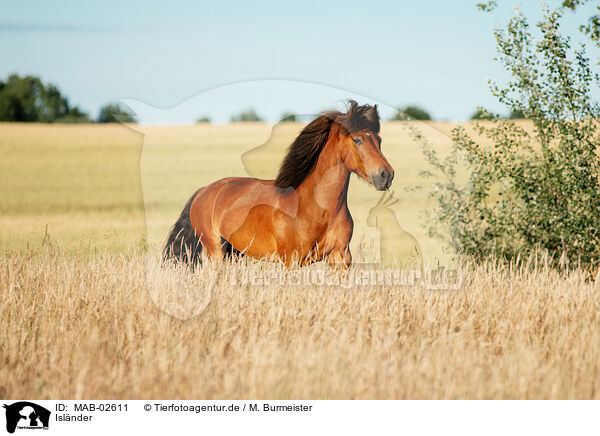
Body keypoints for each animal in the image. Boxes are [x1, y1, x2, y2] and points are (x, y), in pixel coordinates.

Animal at [163, 99, 394, 270]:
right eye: (357, 140)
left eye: (379, 140)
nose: (386, 175)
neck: (318, 209)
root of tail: (204, 191)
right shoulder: (290, 262)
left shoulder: (341, 258)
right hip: (215, 251)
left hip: (234, 253)